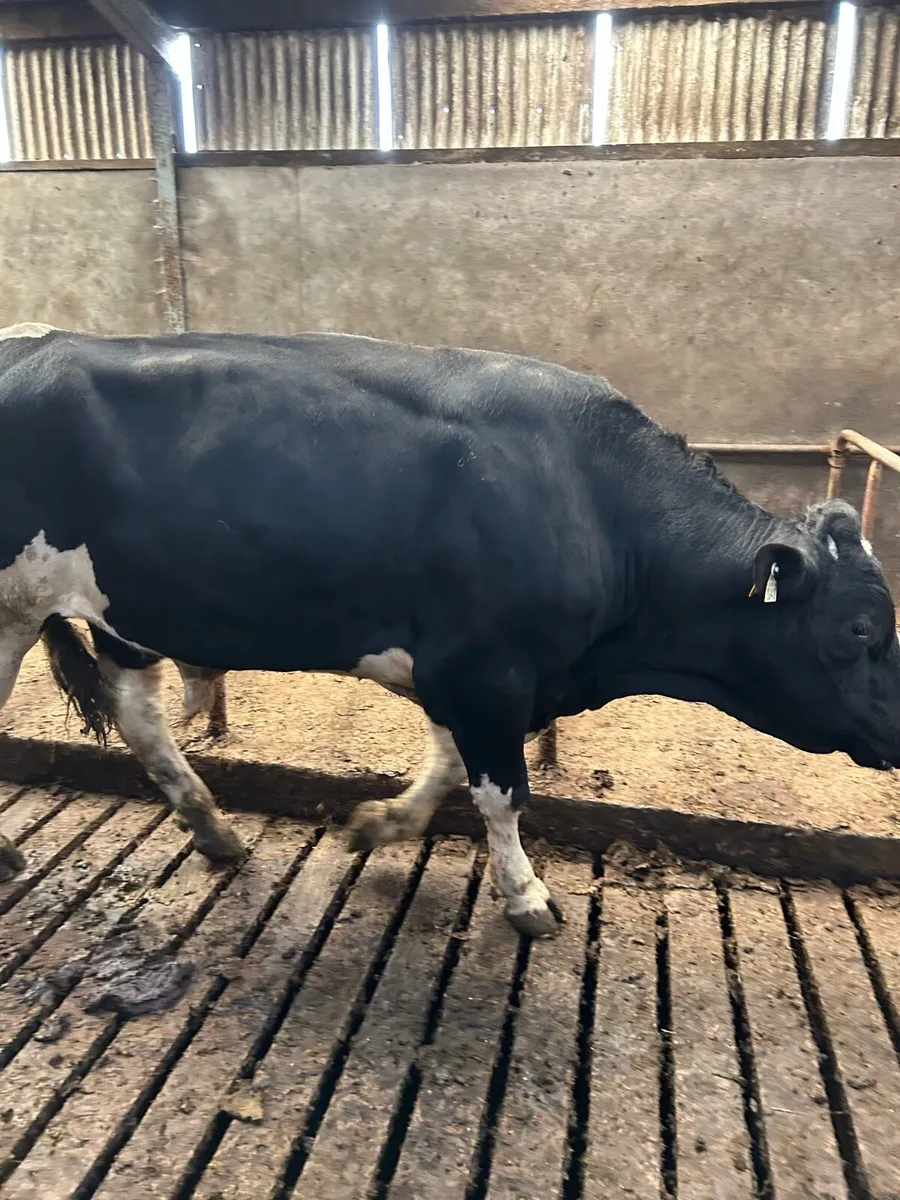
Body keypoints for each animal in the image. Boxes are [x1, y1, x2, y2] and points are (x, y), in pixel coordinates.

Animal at [0, 325, 898, 937]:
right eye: (860, 628)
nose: (899, 734)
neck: (594, 501)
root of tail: (36, 341)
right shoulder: (486, 668)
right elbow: (501, 791)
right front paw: (527, 897)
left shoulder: (465, 670)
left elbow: (447, 765)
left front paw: (380, 823)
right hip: (11, 608)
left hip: (124, 612)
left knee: (140, 716)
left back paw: (214, 830)